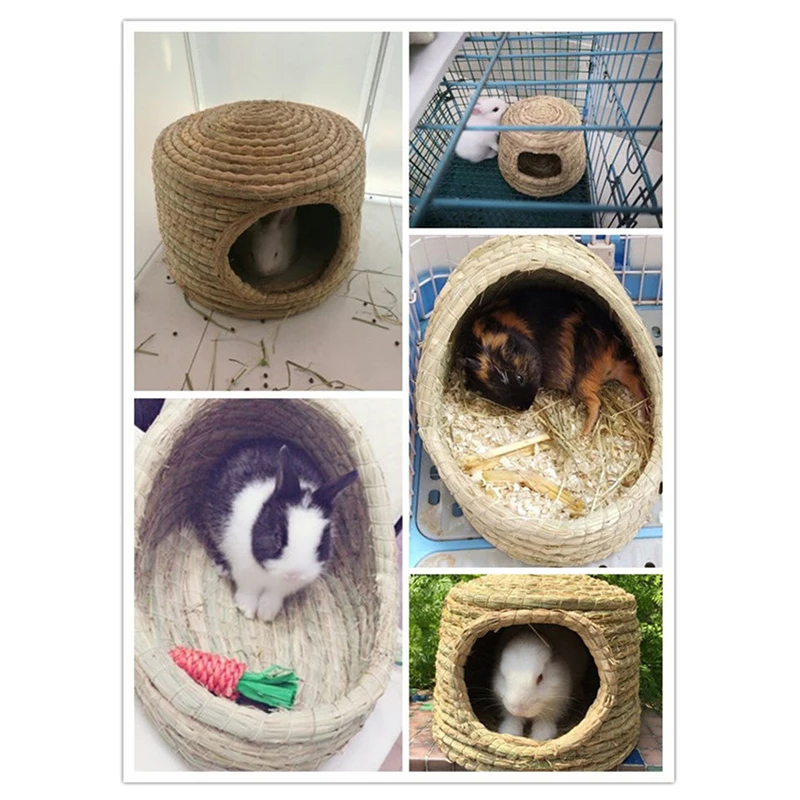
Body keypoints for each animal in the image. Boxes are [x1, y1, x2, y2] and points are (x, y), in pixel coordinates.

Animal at [192, 437, 358, 622]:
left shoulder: (282, 588)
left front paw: (266, 614)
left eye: (322, 543)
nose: (294, 574)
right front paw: (247, 610)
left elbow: (273, 596)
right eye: (277, 536)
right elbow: (249, 590)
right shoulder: (243, 570)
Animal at [457, 286, 648, 435]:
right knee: (636, 383)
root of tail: (612, 349)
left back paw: (583, 435)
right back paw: (643, 414)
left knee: (596, 403)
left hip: (584, 382)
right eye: (497, 394)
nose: (525, 406)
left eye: (520, 377)